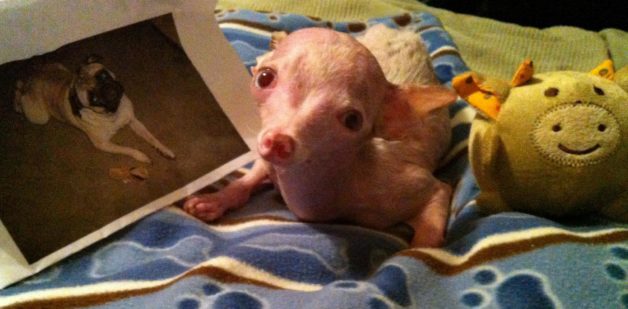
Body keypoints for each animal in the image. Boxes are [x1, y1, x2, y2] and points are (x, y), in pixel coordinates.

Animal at [14, 54, 174, 164]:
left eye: (103, 75)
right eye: (94, 100)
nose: (108, 91)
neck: (113, 114)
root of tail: (34, 76)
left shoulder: (134, 121)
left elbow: (151, 137)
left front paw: (164, 149)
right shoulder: (103, 144)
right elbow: (128, 150)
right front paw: (141, 156)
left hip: (61, 67)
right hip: (40, 117)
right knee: (20, 92)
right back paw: (17, 103)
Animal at [184, 27, 454, 248]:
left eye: (353, 120)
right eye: (264, 78)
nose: (279, 141)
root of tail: (404, 32)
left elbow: (437, 203)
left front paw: (419, 253)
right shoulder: (268, 159)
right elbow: (249, 177)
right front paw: (214, 200)